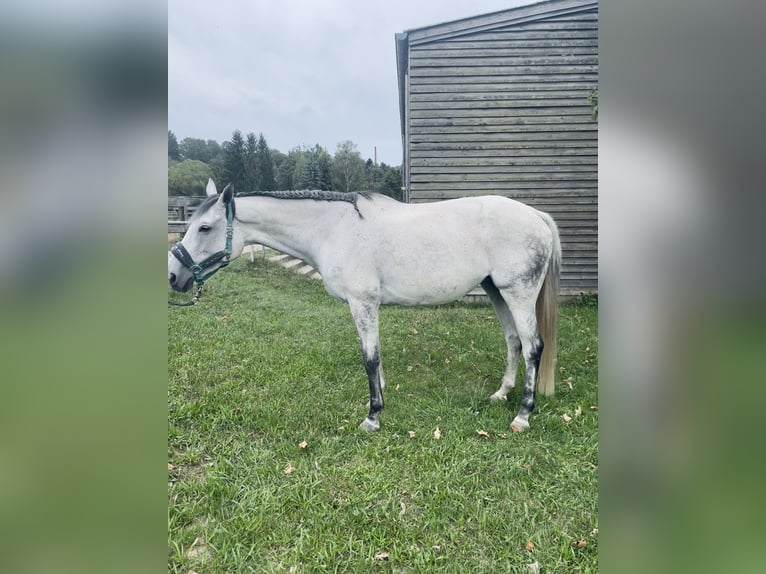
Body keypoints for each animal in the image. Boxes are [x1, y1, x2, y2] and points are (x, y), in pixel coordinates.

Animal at [171, 179, 560, 432]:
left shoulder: (362, 303)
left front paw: (373, 416)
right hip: (497, 291)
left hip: (518, 293)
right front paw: (382, 397)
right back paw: (501, 393)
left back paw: (523, 414)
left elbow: (368, 357)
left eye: (204, 227)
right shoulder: (368, 306)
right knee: (513, 341)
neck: (334, 230)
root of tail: (536, 216)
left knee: (532, 347)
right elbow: (377, 355)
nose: (174, 275)